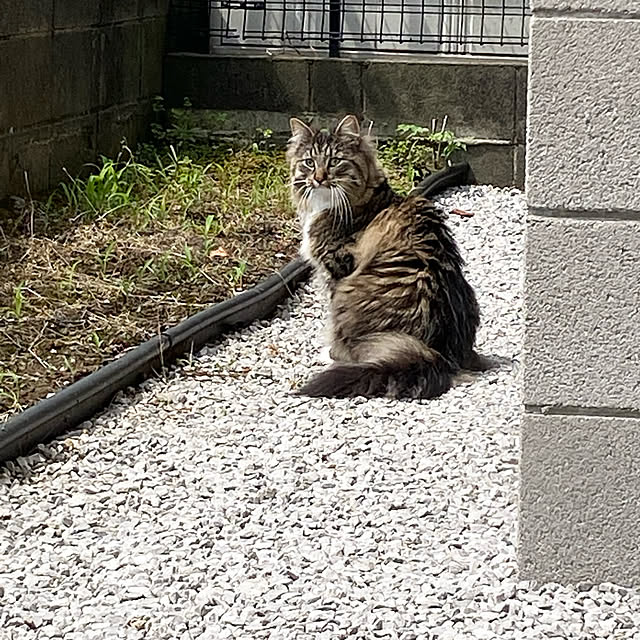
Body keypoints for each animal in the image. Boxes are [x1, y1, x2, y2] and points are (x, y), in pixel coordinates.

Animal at [287, 114, 488, 399]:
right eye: (309, 162)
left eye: (334, 161)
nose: (318, 178)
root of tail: (437, 355)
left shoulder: (336, 269)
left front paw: (331, 352)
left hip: (349, 293)